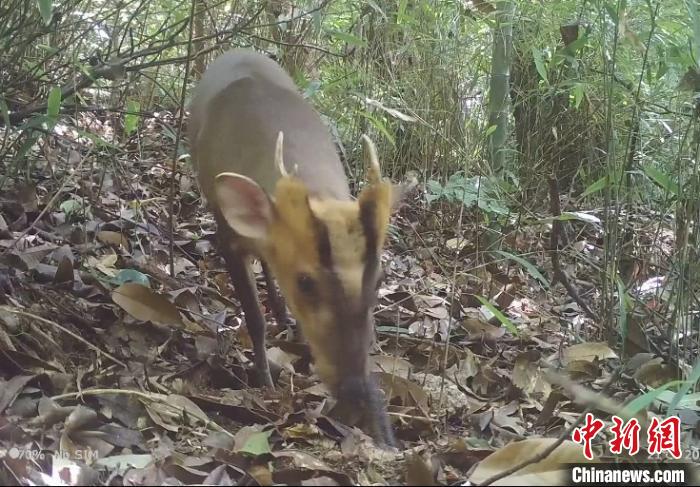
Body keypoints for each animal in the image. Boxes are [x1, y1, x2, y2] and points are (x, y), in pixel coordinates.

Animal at [190, 50, 400, 450]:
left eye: (379, 280)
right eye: (305, 282)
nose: (355, 391)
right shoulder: (227, 236)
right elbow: (253, 318)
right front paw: (264, 380)